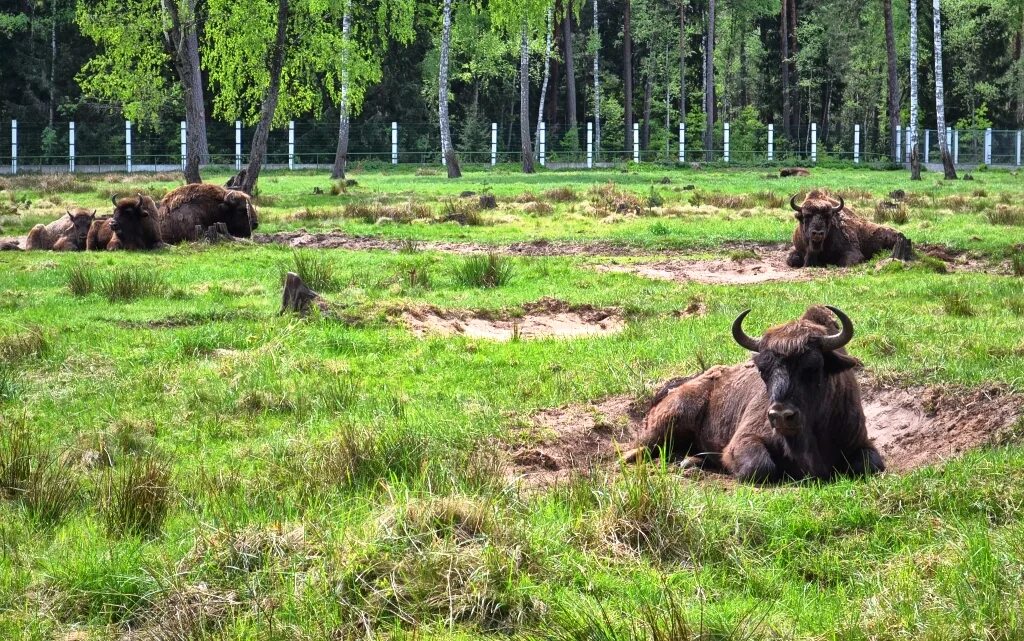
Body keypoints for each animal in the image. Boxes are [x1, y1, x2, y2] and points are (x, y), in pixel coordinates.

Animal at [618, 303, 884, 479]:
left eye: (813, 367)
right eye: (763, 370)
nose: (780, 416)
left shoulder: (859, 441)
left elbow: (870, 465)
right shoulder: (745, 440)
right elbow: (760, 467)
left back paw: (691, 462)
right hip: (673, 417)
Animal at [782, 190, 913, 268]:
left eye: (828, 216)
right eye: (806, 216)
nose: (817, 233)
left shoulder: (853, 253)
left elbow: (844, 262)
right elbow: (791, 259)